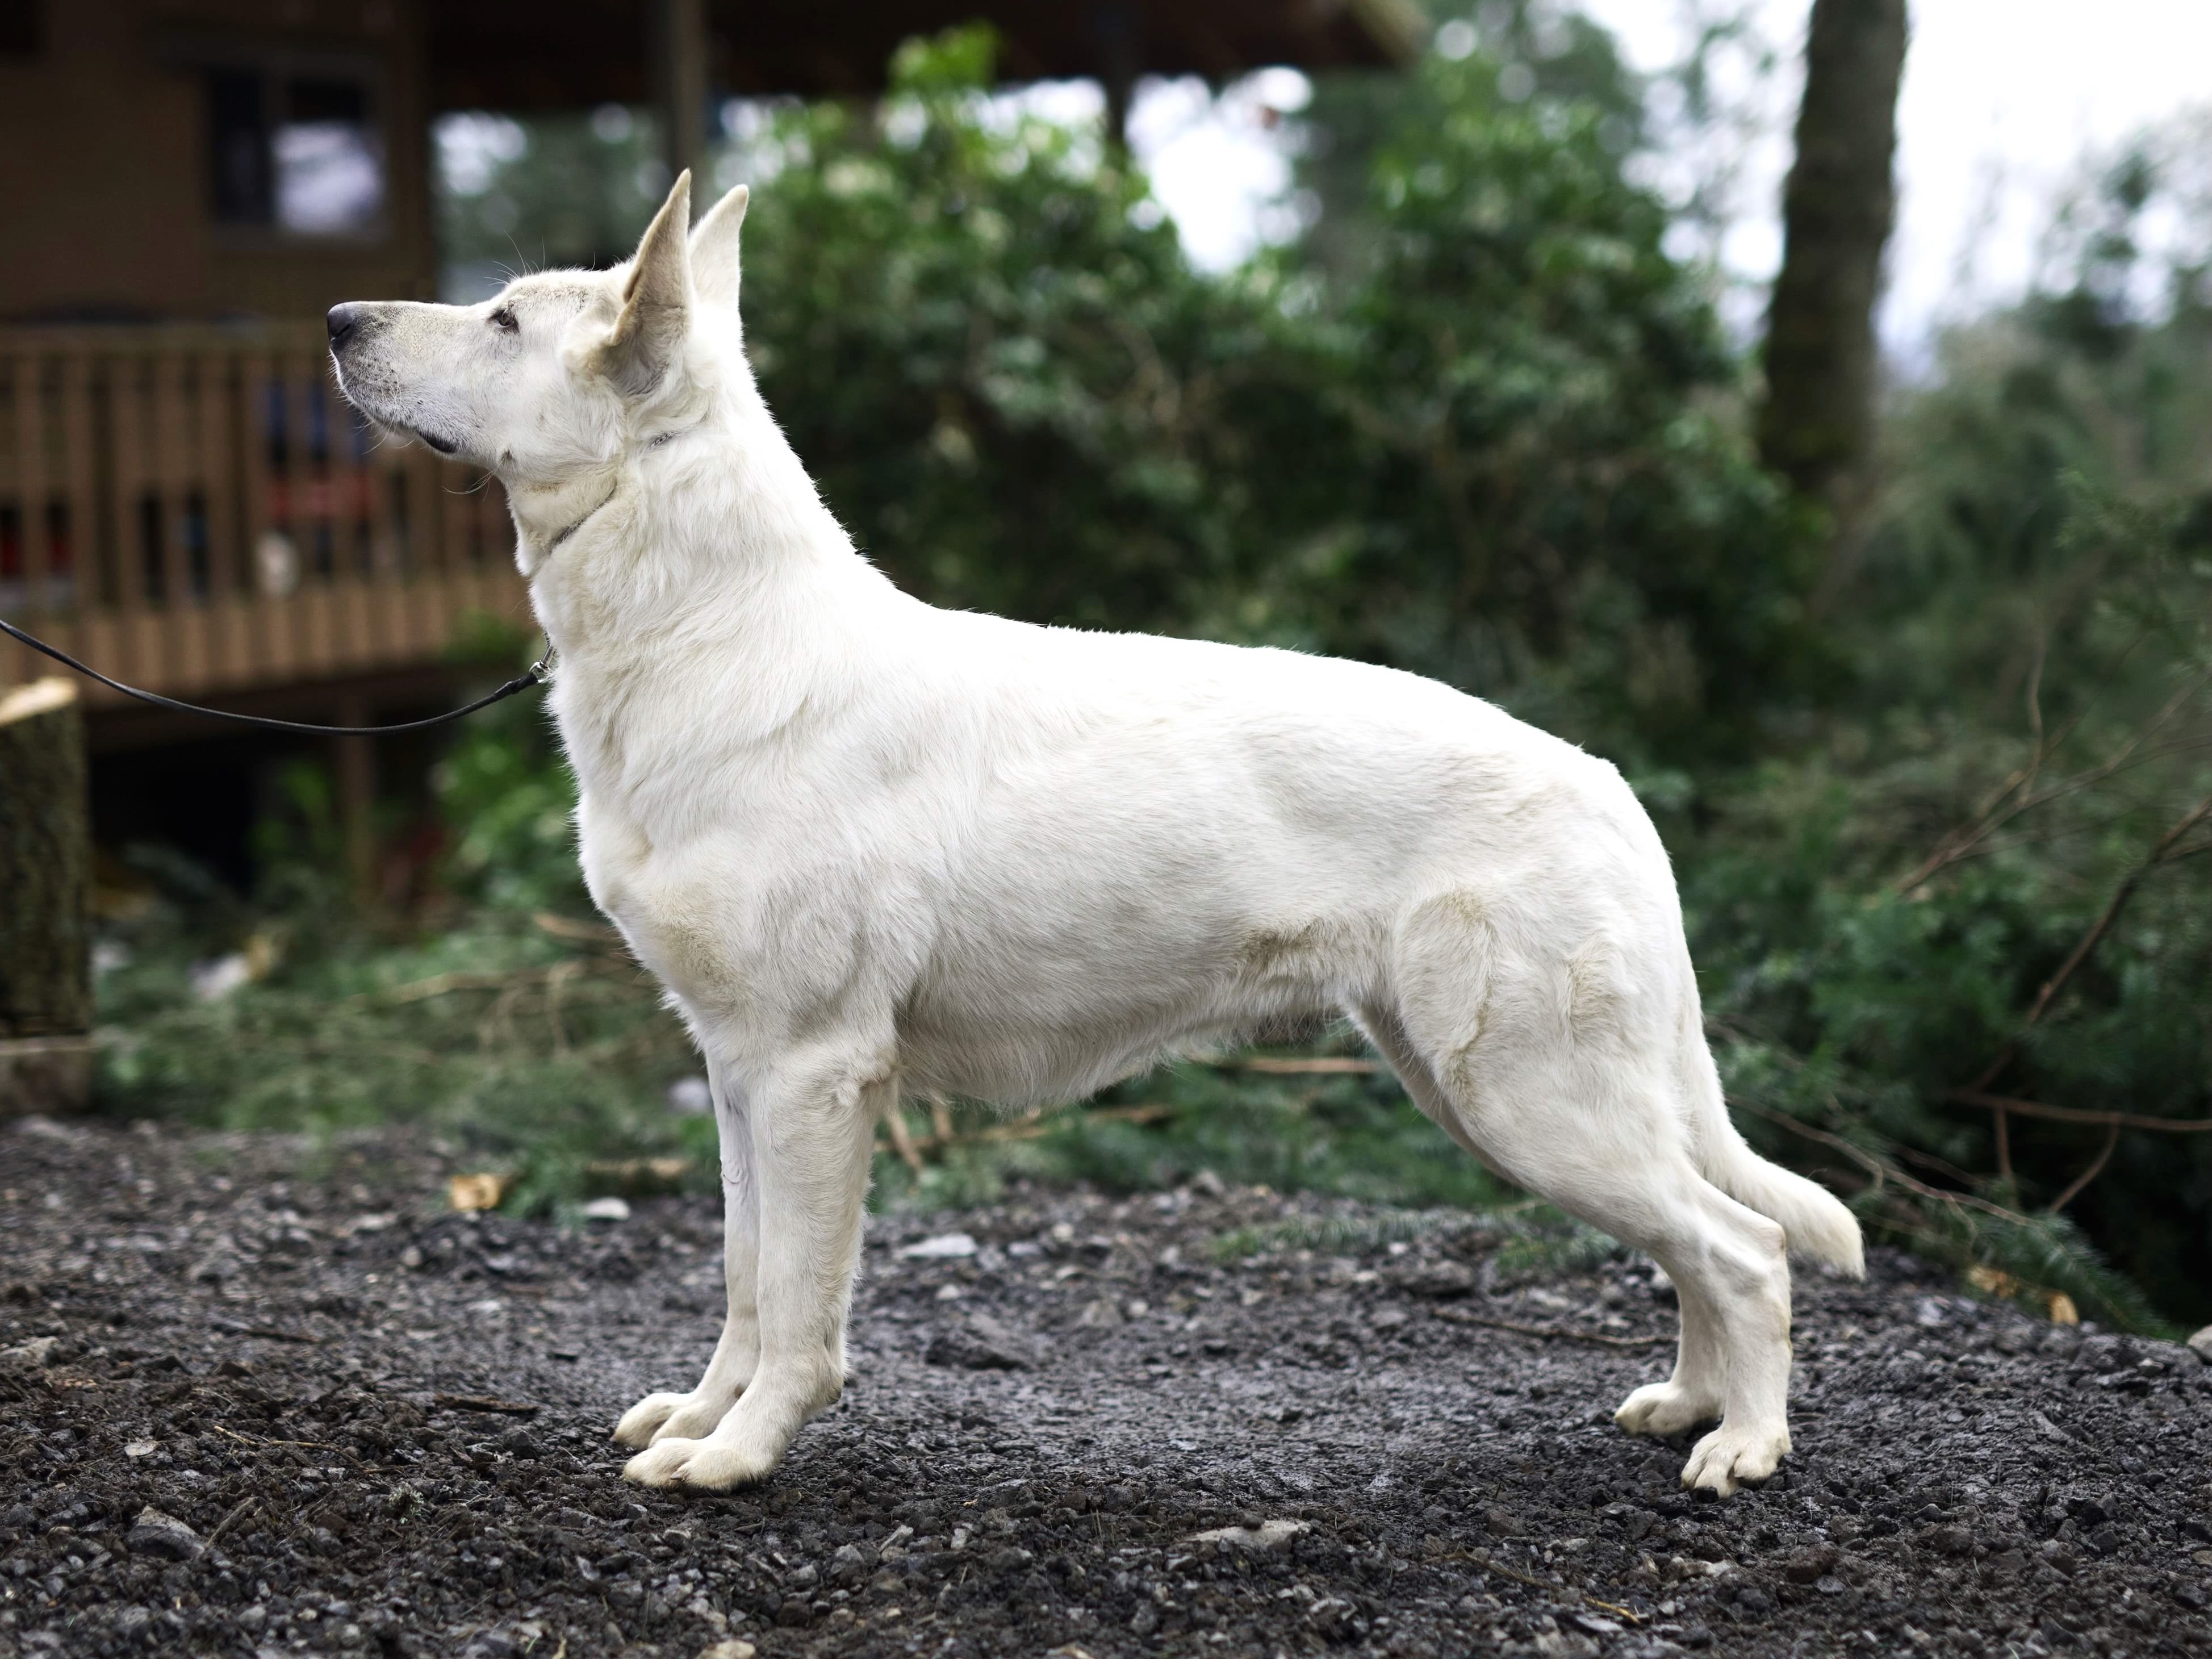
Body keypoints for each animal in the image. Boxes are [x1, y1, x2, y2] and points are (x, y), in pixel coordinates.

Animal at [323, 175, 1849, 1504]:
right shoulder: (738, 1074)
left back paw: (1745, 1444)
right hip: (1490, 1089)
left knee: (1749, 1246)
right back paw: (1692, 1403)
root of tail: (1607, 783)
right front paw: (701, 1419)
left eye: (505, 320)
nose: (335, 319)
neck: (715, 630)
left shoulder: (814, 1074)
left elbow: (799, 1307)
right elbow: (746, 1280)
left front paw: (739, 1454)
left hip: (1533, 1101)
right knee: (1700, 1246)